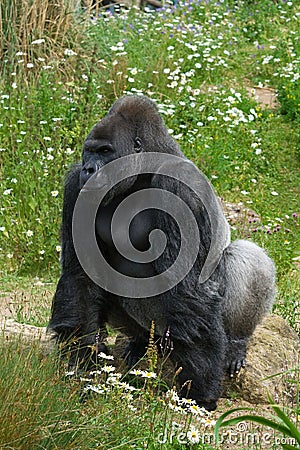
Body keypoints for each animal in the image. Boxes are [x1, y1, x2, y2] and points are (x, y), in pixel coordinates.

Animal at [48, 95, 276, 412]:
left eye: (105, 152)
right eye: (89, 151)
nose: (89, 170)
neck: (143, 169)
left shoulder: (179, 189)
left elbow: (187, 292)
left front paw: (200, 388)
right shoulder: (75, 185)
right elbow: (79, 275)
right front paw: (82, 360)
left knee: (244, 256)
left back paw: (236, 343)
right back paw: (139, 342)